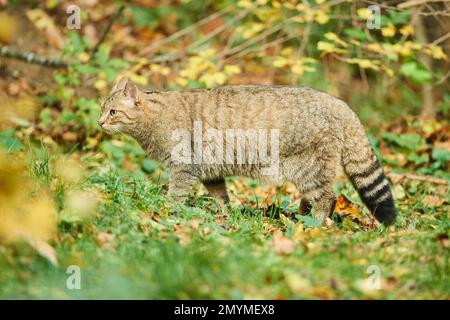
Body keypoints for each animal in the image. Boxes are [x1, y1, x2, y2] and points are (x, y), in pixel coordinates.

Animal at [99, 77, 398, 225]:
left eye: (113, 112)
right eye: (102, 108)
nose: (99, 122)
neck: (153, 120)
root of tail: (341, 104)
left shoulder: (184, 166)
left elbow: (175, 196)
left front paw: (165, 210)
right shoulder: (210, 172)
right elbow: (221, 197)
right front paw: (225, 216)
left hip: (309, 166)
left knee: (327, 198)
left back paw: (312, 224)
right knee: (314, 196)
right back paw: (301, 216)